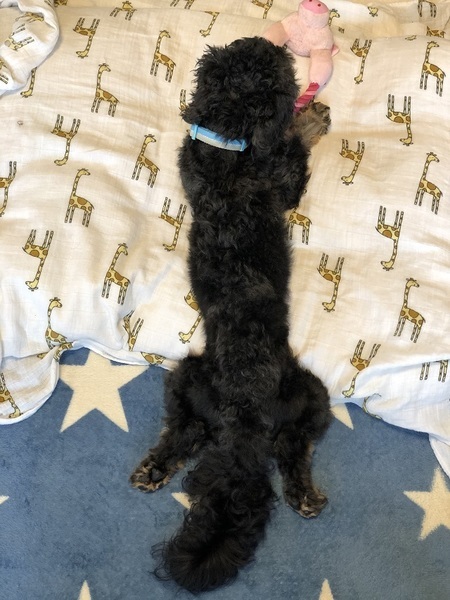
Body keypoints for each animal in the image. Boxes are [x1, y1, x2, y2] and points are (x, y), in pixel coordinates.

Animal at [131, 36, 332, 593]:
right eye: (278, 72)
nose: (278, 42)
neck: (226, 145)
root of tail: (241, 420)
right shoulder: (287, 182)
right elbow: (295, 146)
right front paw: (310, 117)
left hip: (184, 376)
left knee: (186, 428)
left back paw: (155, 469)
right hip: (312, 394)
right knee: (293, 448)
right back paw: (305, 494)